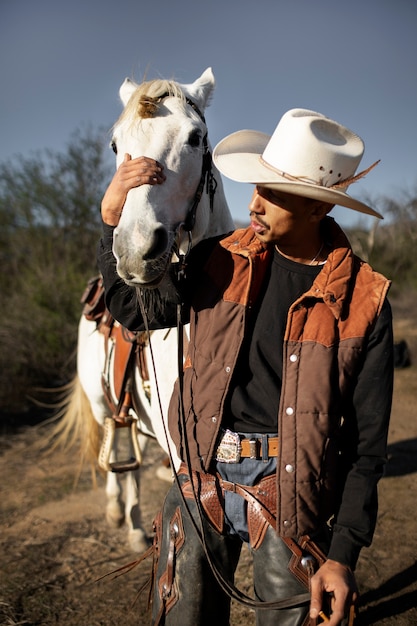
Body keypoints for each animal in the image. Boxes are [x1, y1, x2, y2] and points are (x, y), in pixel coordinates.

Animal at [57, 66, 236, 548]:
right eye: (116, 145)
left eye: (195, 137)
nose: (136, 250)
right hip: (103, 405)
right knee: (120, 456)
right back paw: (128, 518)